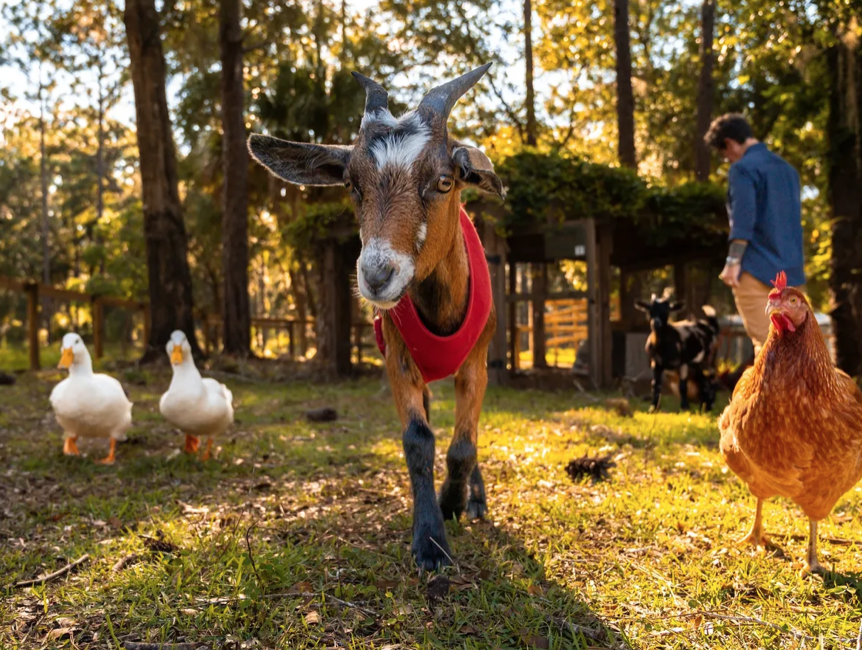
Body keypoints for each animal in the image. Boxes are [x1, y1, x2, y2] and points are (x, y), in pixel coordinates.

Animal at [247, 65, 504, 570]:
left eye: (444, 181)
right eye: (351, 183)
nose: (377, 275)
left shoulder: (477, 362)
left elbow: (464, 444)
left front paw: (454, 502)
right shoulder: (398, 358)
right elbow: (418, 439)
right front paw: (430, 538)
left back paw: (476, 498)